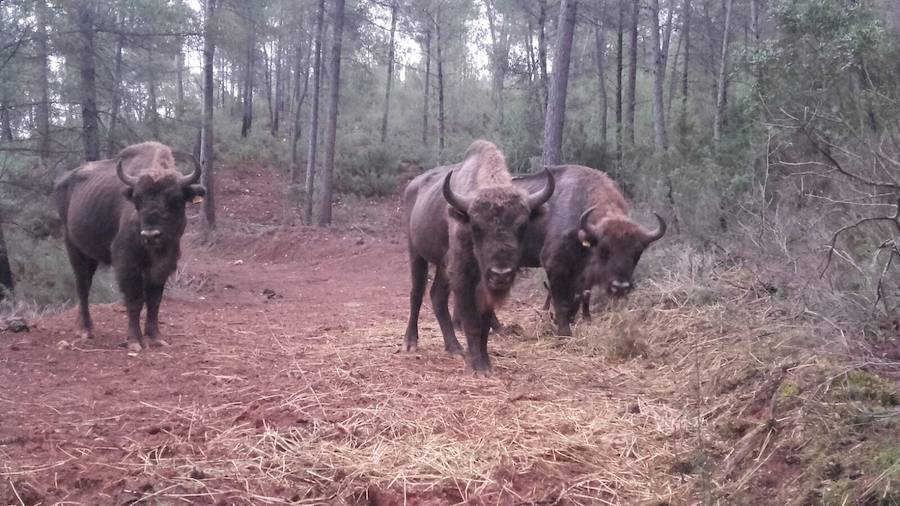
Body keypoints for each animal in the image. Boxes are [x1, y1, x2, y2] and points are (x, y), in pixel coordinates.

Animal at [54, 140, 206, 350]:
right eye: (137, 199)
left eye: (175, 199)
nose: (151, 235)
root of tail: (63, 181)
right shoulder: (127, 263)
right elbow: (135, 299)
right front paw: (135, 341)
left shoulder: (164, 263)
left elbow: (154, 299)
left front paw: (155, 337)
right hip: (74, 248)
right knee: (82, 285)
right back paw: (85, 330)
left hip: (90, 255)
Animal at [402, 140, 556, 374]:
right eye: (476, 226)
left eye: (522, 226)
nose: (501, 274)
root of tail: (413, 186)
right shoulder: (463, 277)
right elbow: (472, 322)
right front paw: (477, 367)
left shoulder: (483, 284)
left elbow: (484, 324)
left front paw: (485, 362)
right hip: (416, 253)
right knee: (417, 293)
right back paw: (411, 342)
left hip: (442, 266)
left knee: (437, 296)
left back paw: (454, 348)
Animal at [512, 165, 668, 336]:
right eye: (604, 249)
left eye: (637, 253)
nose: (620, 287)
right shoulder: (555, 266)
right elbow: (561, 301)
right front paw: (564, 331)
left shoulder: (582, 278)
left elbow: (579, 298)